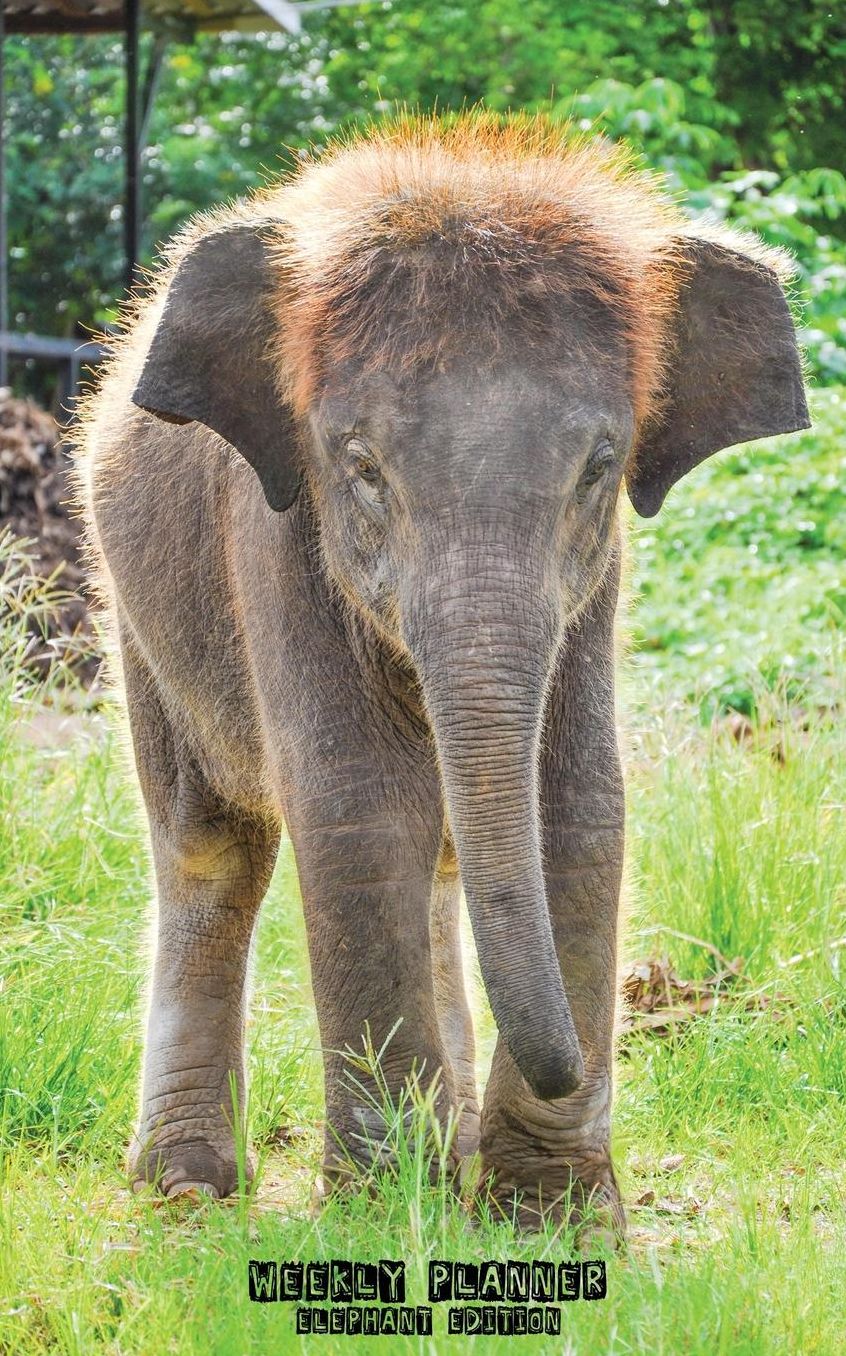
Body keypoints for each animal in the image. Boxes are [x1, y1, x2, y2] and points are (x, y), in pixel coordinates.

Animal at [75, 115, 808, 1231]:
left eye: (600, 468)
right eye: (360, 468)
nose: (579, 1061)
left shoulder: (594, 593)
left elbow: (576, 804)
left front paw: (549, 1216)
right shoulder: (274, 529)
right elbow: (360, 804)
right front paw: (388, 1211)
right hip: (140, 617)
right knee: (211, 848)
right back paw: (186, 1187)